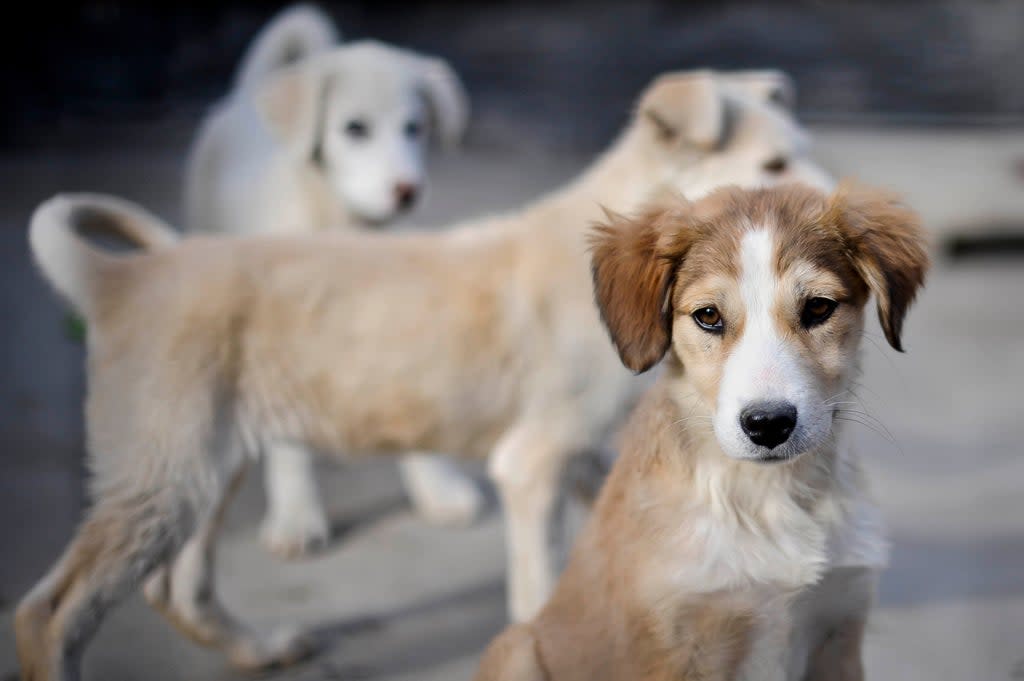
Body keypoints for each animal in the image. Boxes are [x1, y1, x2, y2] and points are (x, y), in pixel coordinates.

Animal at [18, 71, 831, 675]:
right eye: (772, 166)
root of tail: (122, 279)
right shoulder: (532, 461)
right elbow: (538, 589)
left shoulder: (586, 456)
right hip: (162, 469)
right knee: (50, 612)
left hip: (202, 467)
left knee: (175, 587)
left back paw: (261, 650)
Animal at [475, 182, 933, 679]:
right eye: (709, 316)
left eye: (818, 307)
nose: (768, 424)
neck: (766, 496)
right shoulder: (673, 647)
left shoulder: (839, 632)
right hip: (516, 648)